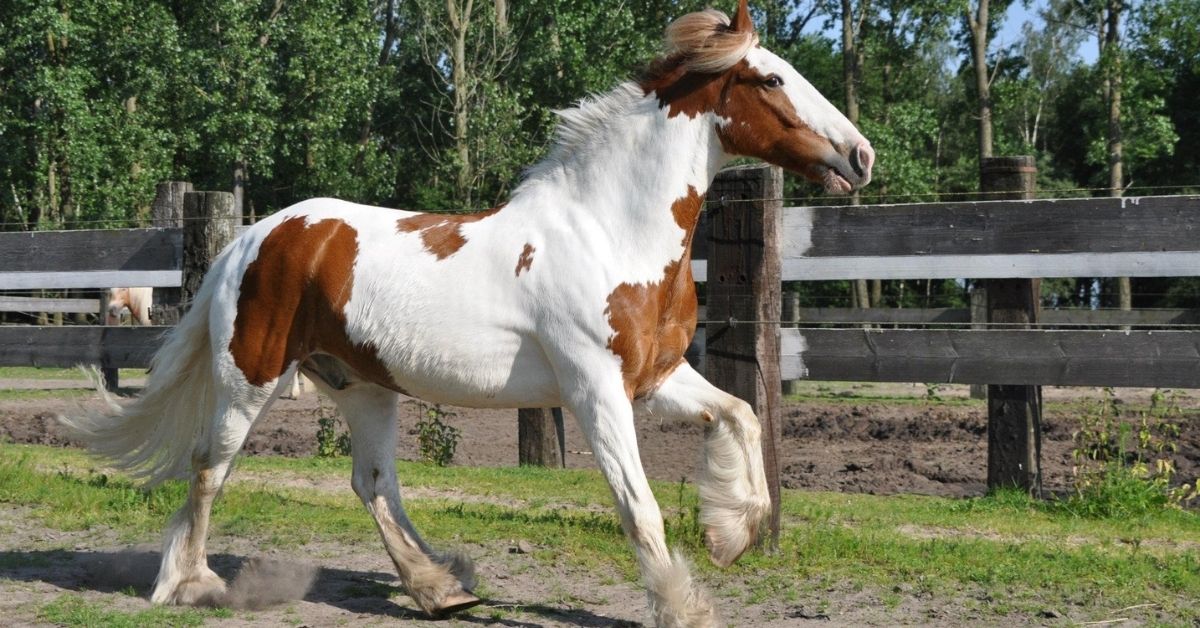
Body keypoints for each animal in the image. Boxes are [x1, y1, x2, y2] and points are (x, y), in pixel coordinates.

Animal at [60, 2, 873, 624]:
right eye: (772, 78)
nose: (861, 156)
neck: (609, 231)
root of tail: (253, 238)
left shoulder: (656, 376)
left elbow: (742, 412)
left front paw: (732, 533)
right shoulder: (594, 389)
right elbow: (637, 503)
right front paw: (683, 603)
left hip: (363, 386)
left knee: (373, 483)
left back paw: (441, 587)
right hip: (251, 377)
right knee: (209, 467)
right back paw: (191, 584)